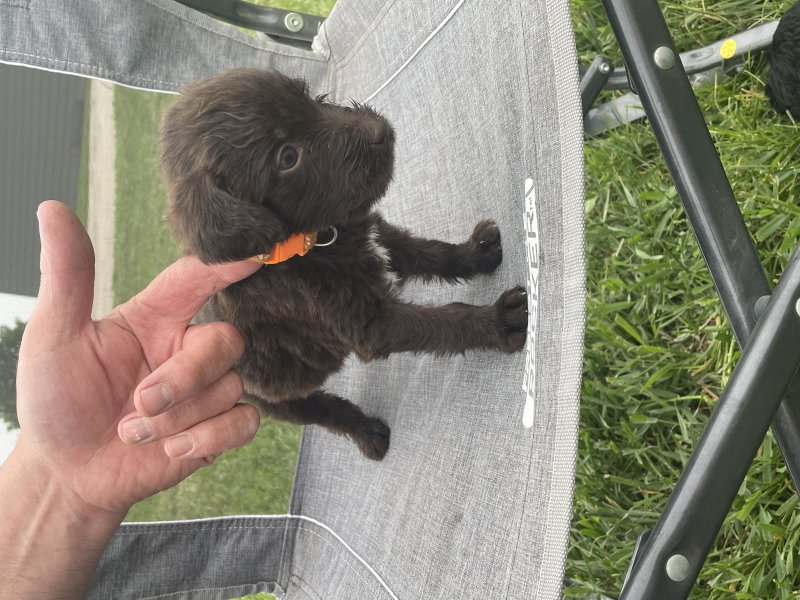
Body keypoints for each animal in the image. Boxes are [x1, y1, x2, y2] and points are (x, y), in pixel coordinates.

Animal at [161, 69, 524, 460]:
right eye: (288, 157)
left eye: (306, 94)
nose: (378, 130)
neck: (317, 240)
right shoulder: (370, 324)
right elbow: (444, 322)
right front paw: (498, 321)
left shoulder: (379, 237)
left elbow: (430, 253)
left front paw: (476, 253)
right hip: (280, 401)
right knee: (326, 411)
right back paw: (368, 434)